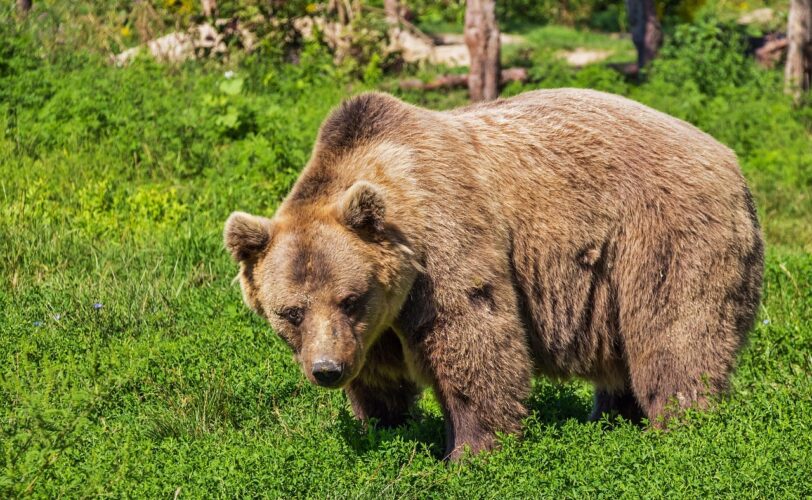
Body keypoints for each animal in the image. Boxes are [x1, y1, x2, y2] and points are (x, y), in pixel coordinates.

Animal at [224, 89, 764, 460]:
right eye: (291, 312)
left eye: (349, 298)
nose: (326, 370)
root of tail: (730, 158)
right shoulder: (374, 326)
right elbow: (379, 378)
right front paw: (384, 426)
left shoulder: (445, 246)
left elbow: (474, 340)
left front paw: (470, 452)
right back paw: (610, 418)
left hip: (663, 236)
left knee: (675, 334)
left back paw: (681, 426)